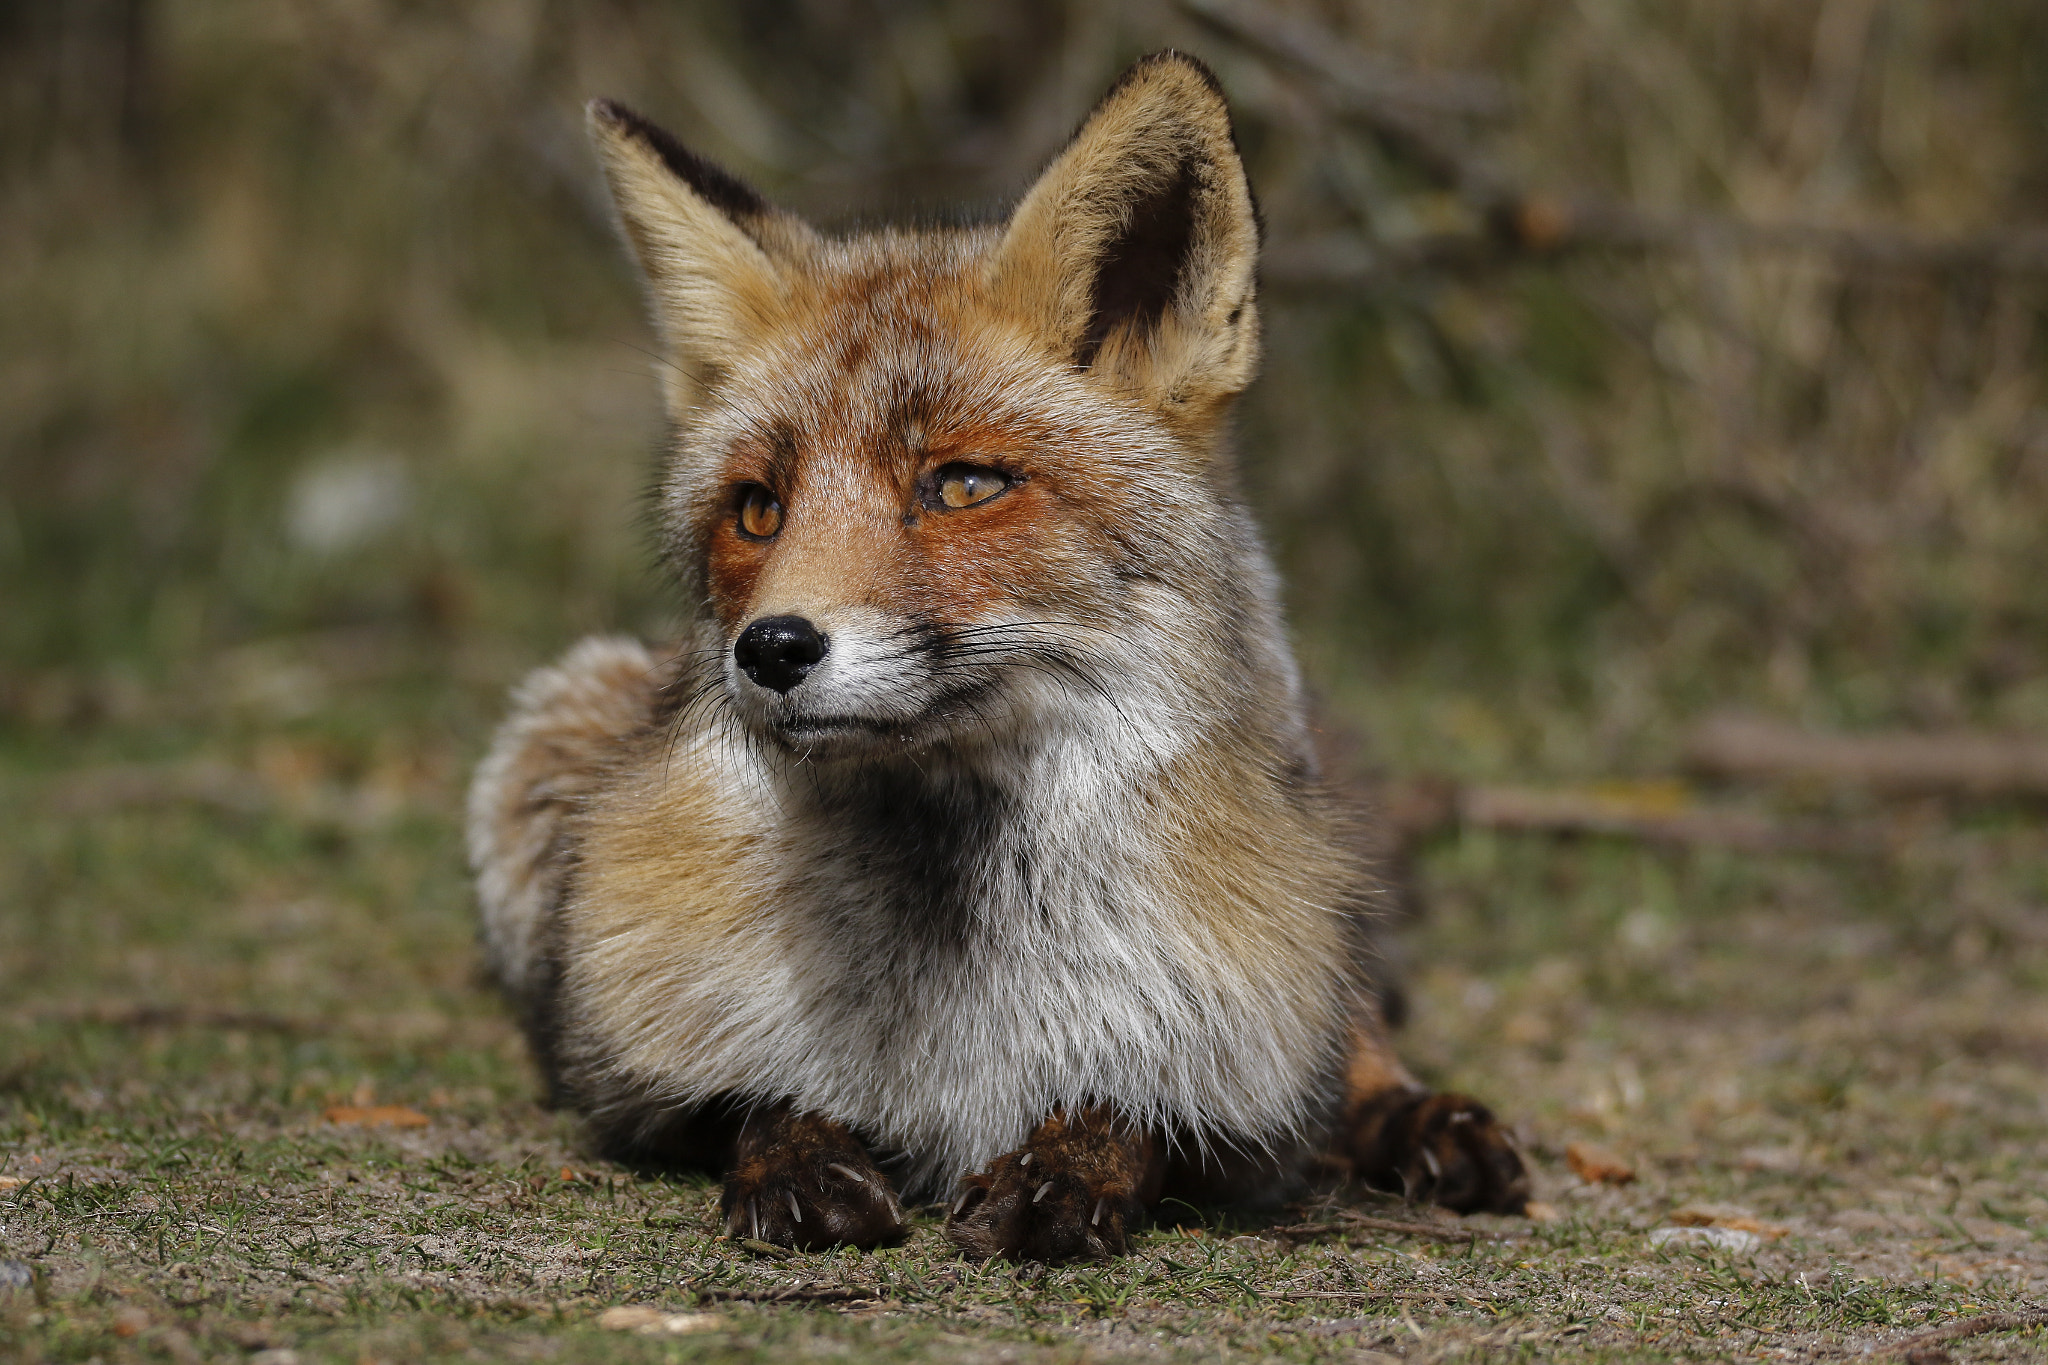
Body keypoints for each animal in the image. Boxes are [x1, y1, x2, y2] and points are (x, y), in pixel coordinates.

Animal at [467, 50, 1528, 1261]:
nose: (771, 648)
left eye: (963, 484)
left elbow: (1142, 1110)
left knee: (1356, 1036)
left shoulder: (1244, 1063)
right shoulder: (627, 1059)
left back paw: (1423, 1120)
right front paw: (797, 1155)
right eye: (757, 509)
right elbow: (750, 1101)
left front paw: (1068, 1164)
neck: (960, 962)